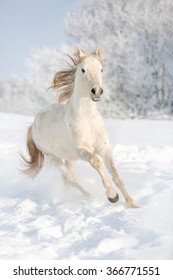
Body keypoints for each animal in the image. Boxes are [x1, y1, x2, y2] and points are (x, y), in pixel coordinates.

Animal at [21, 47, 137, 207]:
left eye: (101, 69)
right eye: (83, 70)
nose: (97, 91)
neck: (88, 120)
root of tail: (33, 124)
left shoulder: (105, 147)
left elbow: (116, 175)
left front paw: (132, 204)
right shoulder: (82, 151)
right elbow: (96, 162)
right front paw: (112, 196)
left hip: (71, 158)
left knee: (66, 179)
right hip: (54, 158)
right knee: (70, 178)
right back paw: (89, 196)